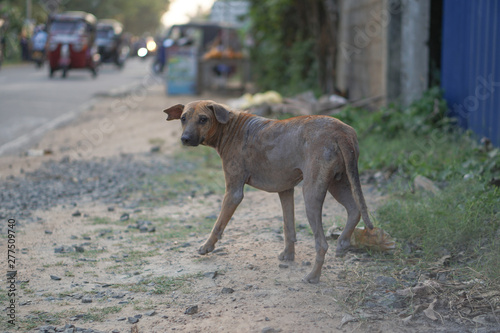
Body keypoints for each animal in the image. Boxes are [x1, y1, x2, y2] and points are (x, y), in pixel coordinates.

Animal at [162, 100, 374, 282]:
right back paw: (343, 243)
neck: (230, 128)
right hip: (338, 183)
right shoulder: (286, 190)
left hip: (312, 194)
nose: (185, 139)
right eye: (183, 118)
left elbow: (218, 224)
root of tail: (342, 132)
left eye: (203, 119)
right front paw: (288, 255)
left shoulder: (233, 192)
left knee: (322, 243)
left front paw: (207, 246)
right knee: (355, 210)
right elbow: (289, 228)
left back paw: (313, 276)